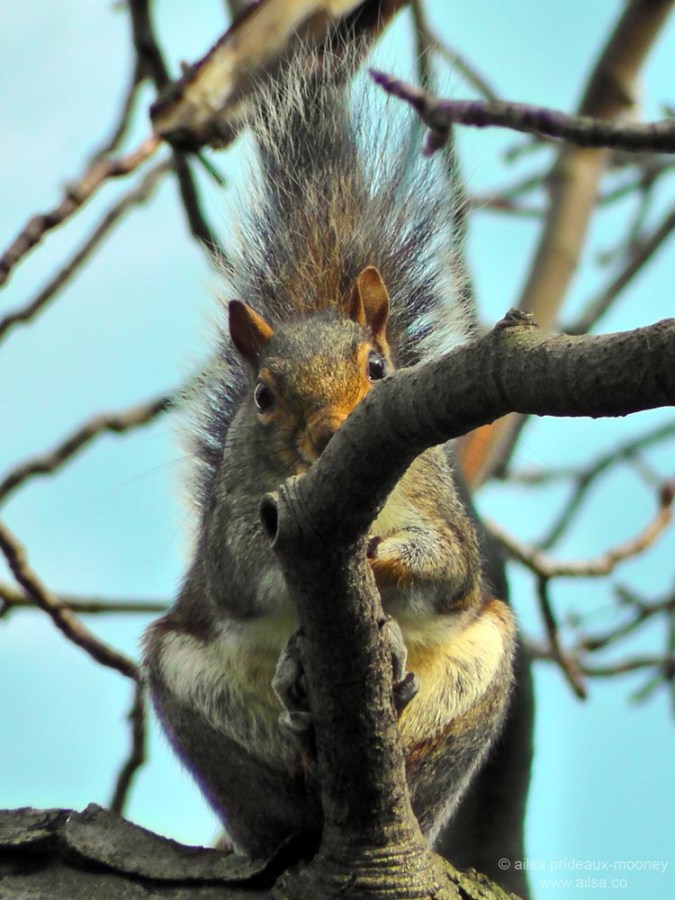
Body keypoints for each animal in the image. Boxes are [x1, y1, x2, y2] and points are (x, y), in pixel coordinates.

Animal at [143, 38, 516, 863]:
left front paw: (384, 557)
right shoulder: (233, 523)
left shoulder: (438, 502)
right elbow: (243, 569)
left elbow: (447, 564)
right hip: (193, 697)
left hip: (474, 684)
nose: (328, 434)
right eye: (262, 394)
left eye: (377, 368)